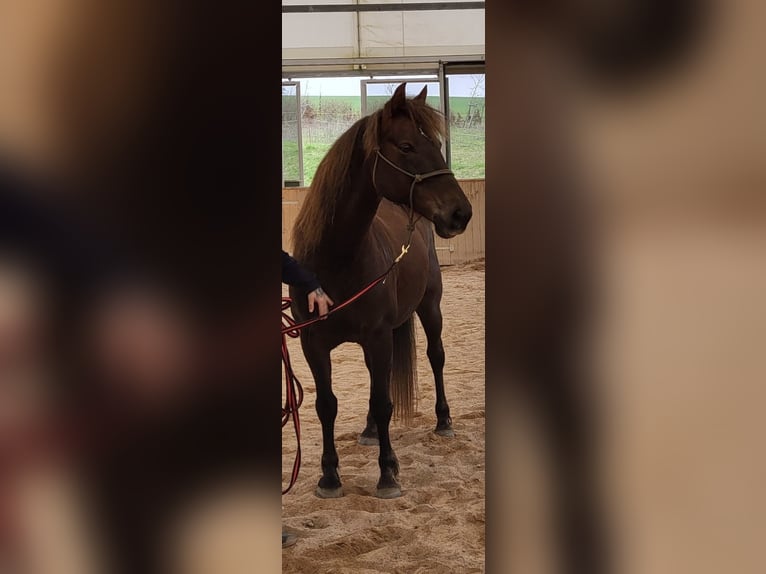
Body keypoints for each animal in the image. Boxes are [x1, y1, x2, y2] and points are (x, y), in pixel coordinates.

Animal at [289, 82, 472, 499]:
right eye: (406, 146)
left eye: (436, 143)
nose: (462, 213)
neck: (336, 261)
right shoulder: (313, 343)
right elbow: (327, 404)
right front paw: (329, 476)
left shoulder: (377, 336)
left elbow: (385, 400)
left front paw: (388, 474)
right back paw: (371, 430)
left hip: (429, 308)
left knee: (435, 357)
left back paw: (443, 421)